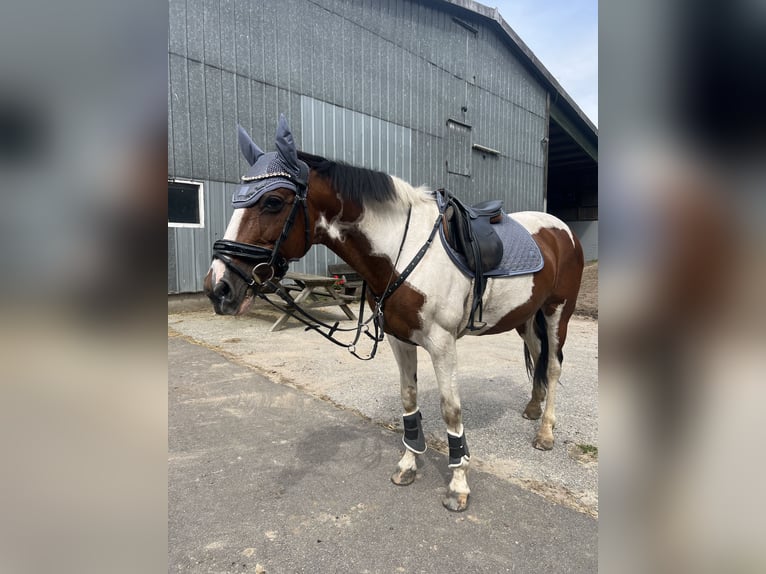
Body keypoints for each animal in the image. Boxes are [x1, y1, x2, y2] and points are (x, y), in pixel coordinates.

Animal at [204, 115, 584, 512]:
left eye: (274, 201)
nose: (219, 287)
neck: (400, 249)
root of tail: (562, 230)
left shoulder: (442, 344)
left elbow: (451, 409)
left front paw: (458, 485)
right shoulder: (400, 339)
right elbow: (408, 399)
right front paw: (408, 464)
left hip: (557, 312)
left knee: (553, 366)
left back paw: (545, 432)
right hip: (526, 316)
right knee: (538, 356)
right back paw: (532, 408)